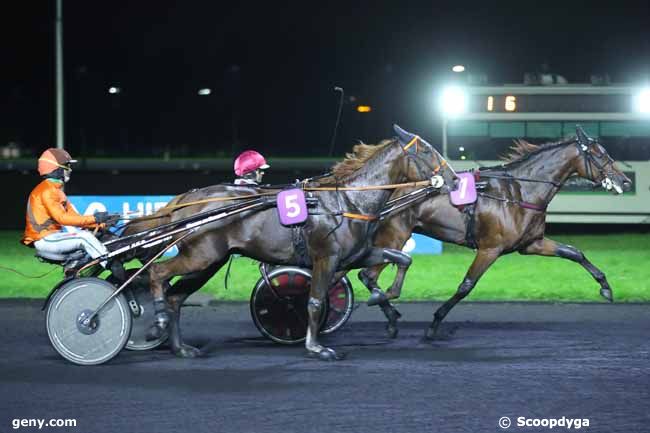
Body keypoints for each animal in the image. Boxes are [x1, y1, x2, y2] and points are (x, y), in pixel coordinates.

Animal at [121, 125, 456, 362]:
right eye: (428, 152)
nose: (453, 180)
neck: (347, 201)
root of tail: (186, 199)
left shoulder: (356, 255)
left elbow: (402, 259)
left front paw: (382, 297)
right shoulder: (326, 258)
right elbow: (315, 301)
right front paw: (316, 347)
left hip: (209, 261)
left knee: (177, 296)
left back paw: (181, 348)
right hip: (201, 256)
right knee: (157, 274)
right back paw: (157, 321)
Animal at [356, 126, 632, 340]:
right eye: (600, 155)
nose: (625, 181)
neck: (519, 191)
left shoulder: (532, 244)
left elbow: (574, 252)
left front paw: (605, 287)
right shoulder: (490, 249)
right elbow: (466, 286)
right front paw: (434, 325)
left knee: (367, 276)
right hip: (395, 236)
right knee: (367, 275)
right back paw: (390, 317)